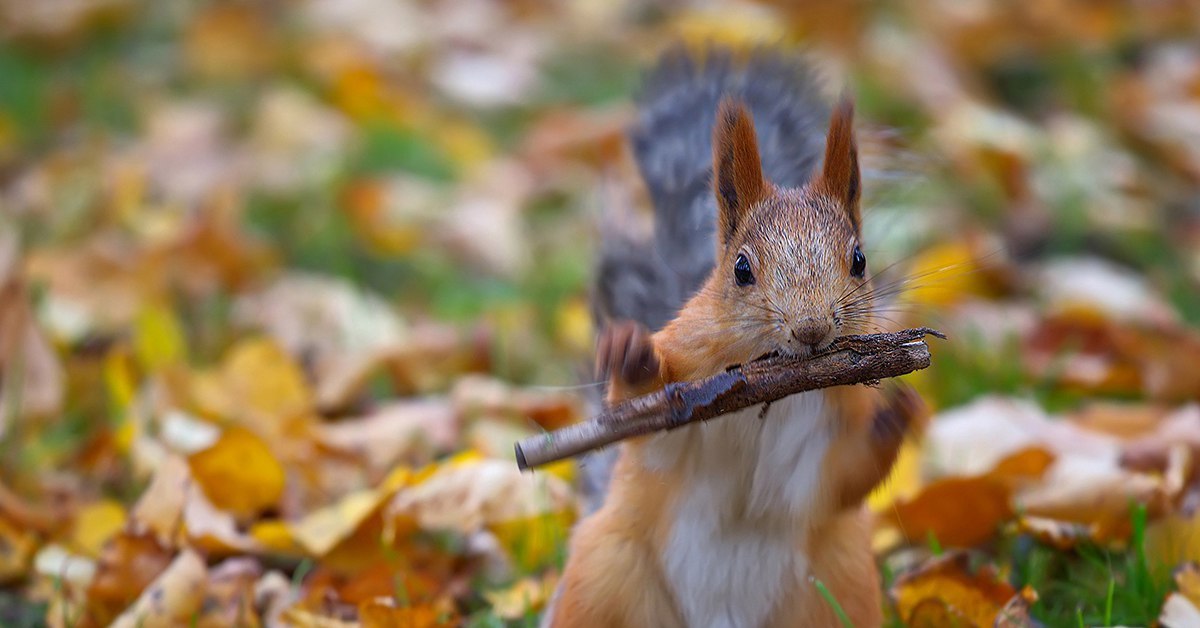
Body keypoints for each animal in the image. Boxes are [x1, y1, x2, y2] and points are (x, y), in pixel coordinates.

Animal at [544, 45, 926, 628]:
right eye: (741, 269)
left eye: (860, 261)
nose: (812, 330)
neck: (771, 386)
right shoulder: (684, 382)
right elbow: (643, 425)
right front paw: (631, 358)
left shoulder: (828, 428)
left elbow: (840, 479)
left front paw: (895, 418)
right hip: (605, 573)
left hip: (839, 581)